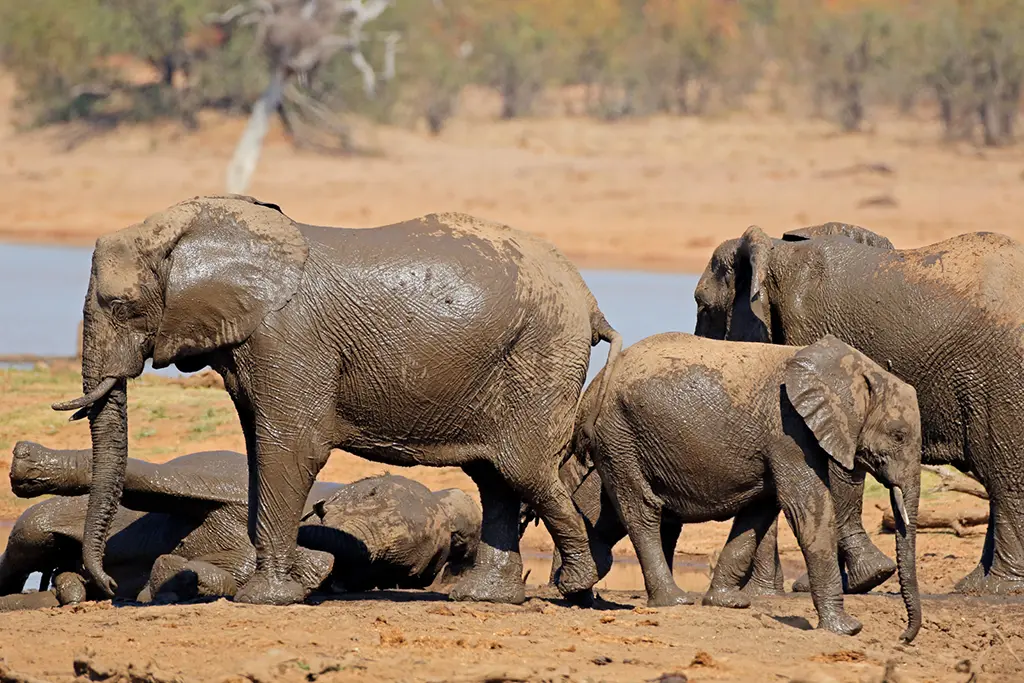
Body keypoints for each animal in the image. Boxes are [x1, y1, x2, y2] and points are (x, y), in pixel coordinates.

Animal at [0, 441, 481, 611]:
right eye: (372, 493)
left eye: (394, 571)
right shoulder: (229, 478)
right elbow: (163, 484)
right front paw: (29, 466)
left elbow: (221, 574)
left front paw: (168, 585)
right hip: (40, 525)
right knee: (27, 540)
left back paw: (71, 589)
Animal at [50, 195, 620, 606]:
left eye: (120, 305)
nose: (104, 586)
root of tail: (590, 302)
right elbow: (258, 451)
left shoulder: (289, 337)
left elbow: (289, 449)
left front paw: (264, 599)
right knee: (494, 476)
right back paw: (486, 597)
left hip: (541, 353)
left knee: (523, 468)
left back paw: (572, 587)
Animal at [573, 332, 922, 641]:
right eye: (899, 435)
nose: (903, 636)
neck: (853, 368)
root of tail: (592, 389)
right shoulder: (788, 429)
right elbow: (806, 507)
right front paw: (846, 629)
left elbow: (759, 512)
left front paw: (726, 602)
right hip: (619, 433)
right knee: (642, 509)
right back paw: (673, 601)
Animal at [695, 226, 1024, 596]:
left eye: (703, 306)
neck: (779, 254)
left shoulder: (814, 330)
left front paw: (858, 579)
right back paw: (973, 585)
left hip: (999, 380)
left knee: (1003, 473)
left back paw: (996, 588)